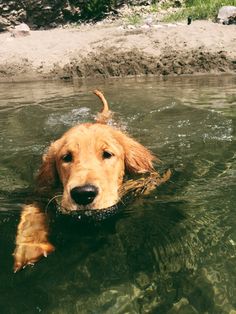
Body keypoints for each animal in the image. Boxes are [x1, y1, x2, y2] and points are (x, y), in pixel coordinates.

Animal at [13, 91, 171, 272]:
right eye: (66, 157)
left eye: (107, 154)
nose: (83, 194)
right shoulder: (40, 191)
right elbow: (30, 214)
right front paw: (29, 248)